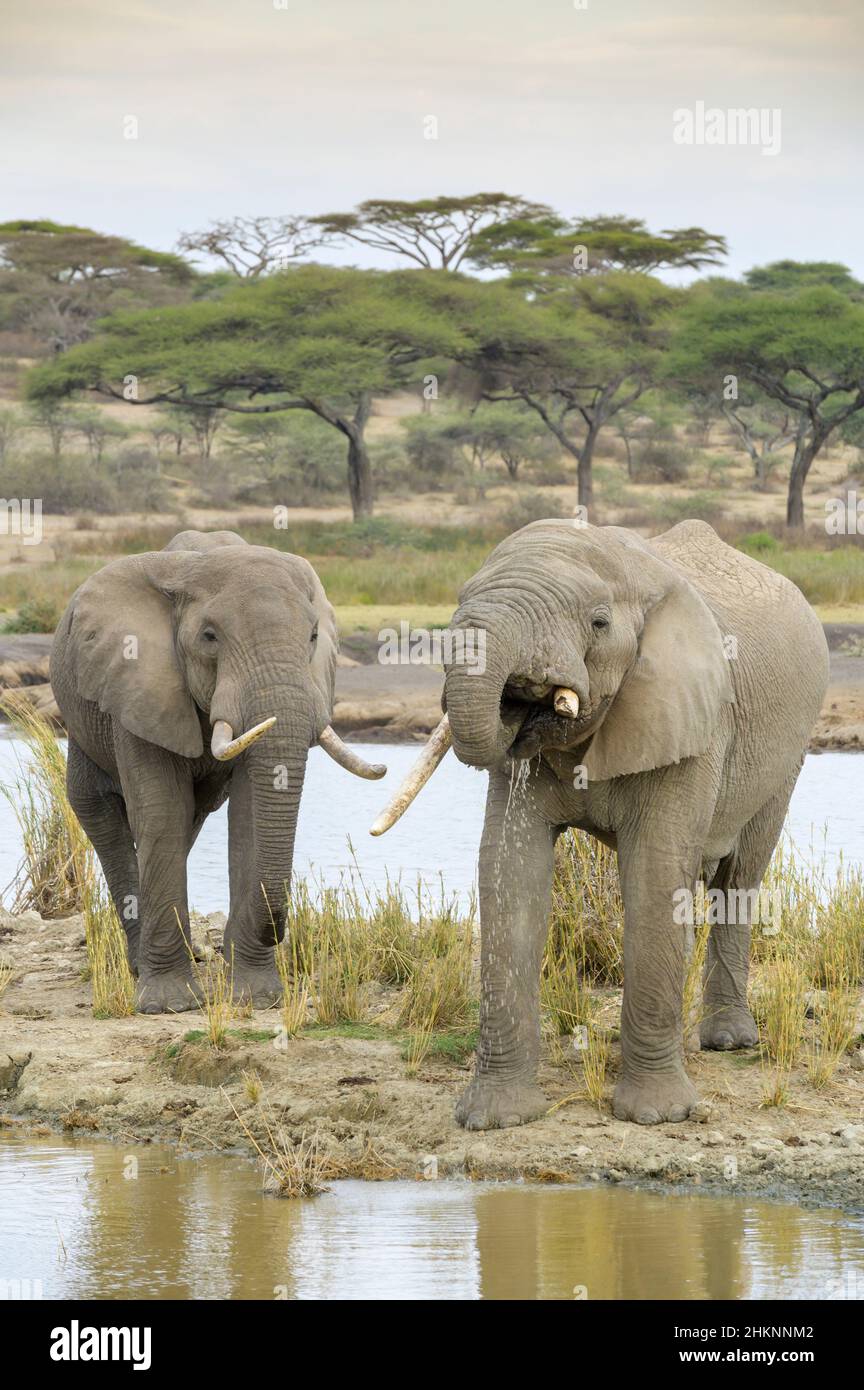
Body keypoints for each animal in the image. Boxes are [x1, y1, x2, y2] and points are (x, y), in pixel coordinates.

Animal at [48, 528, 383, 1011]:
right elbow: (161, 812)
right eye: (209, 636)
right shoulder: (139, 684)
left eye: (314, 635)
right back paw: (138, 965)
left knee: (193, 815)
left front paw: (257, 998)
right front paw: (168, 1004)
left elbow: (246, 817)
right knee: (102, 812)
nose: (278, 931)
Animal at [375, 522, 833, 1128]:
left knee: (740, 875)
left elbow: (655, 873)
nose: (520, 695)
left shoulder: (693, 716)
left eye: (598, 622)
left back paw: (729, 1042)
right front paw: (494, 1119)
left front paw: (658, 1117)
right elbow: (509, 871)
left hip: (788, 751)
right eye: (458, 602)